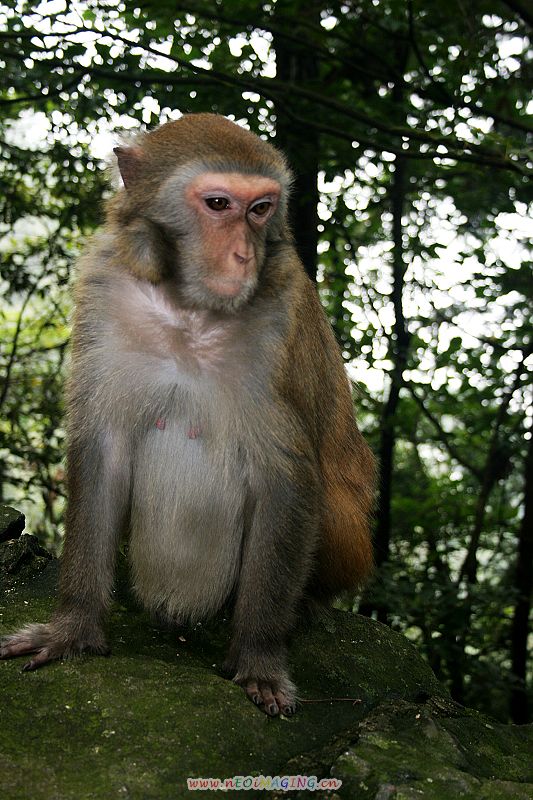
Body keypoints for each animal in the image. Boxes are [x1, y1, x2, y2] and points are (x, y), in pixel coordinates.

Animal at [0, 111, 374, 712]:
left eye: (261, 208)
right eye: (218, 204)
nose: (244, 255)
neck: (190, 310)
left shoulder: (282, 321)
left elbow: (287, 476)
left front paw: (260, 658)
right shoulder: (106, 290)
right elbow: (105, 450)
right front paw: (74, 627)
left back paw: (303, 608)